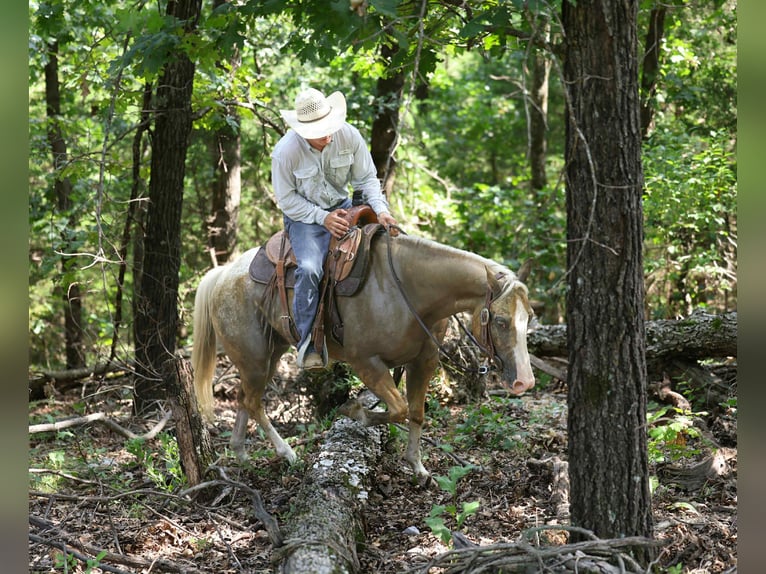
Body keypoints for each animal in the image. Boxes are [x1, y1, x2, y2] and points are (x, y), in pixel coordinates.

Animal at [191, 231, 535, 482]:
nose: (525, 383)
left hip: (269, 353)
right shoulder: (366, 363)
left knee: (243, 398)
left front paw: (418, 468)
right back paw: (286, 452)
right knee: (252, 401)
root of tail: (223, 273)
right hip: (255, 358)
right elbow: (398, 409)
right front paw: (355, 411)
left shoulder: (423, 361)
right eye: (500, 321)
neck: (409, 291)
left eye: (529, 317)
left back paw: (242, 454)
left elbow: (415, 412)